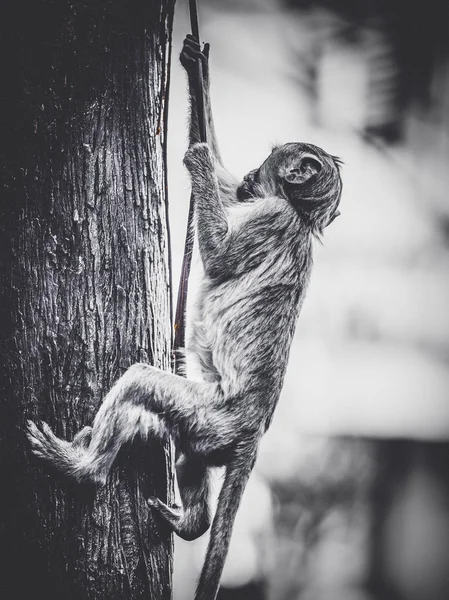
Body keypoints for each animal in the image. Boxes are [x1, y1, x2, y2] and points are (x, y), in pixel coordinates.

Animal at [26, 35, 342, 600]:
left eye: (266, 165)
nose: (251, 175)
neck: (304, 218)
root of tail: (252, 430)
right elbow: (219, 186)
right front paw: (198, 70)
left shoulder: (271, 215)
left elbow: (218, 257)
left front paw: (197, 157)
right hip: (205, 430)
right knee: (182, 448)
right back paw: (192, 520)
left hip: (209, 413)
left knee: (139, 383)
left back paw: (84, 469)